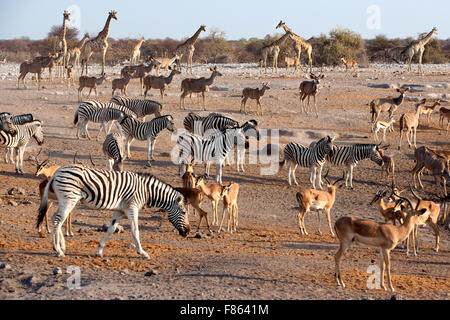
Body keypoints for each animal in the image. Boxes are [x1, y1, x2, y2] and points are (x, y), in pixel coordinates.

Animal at [36, 164, 189, 258]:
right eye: (184, 213)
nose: (187, 232)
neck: (146, 191)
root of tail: (57, 172)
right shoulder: (132, 208)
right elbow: (135, 230)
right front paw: (142, 252)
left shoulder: (120, 210)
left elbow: (111, 229)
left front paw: (99, 251)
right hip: (69, 200)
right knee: (57, 221)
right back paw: (58, 250)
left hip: (62, 200)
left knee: (54, 218)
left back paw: (61, 246)